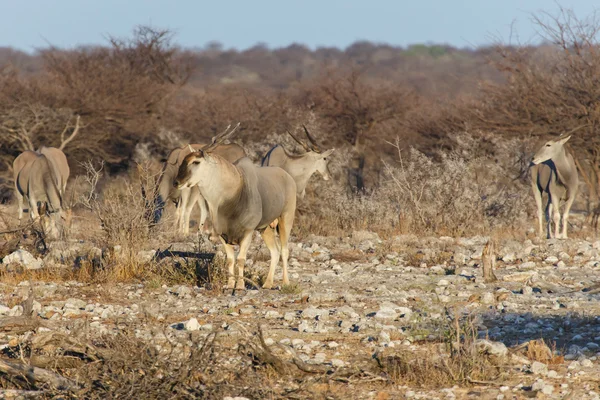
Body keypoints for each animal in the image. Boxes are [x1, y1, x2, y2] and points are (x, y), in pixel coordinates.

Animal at [172, 123, 296, 290]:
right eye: (184, 161)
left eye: (196, 162)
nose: (177, 182)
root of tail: (288, 178)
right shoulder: (222, 235)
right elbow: (230, 260)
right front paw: (230, 285)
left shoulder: (248, 232)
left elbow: (241, 259)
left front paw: (240, 285)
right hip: (265, 229)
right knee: (275, 252)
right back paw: (267, 284)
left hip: (285, 220)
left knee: (284, 250)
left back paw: (285, 282)